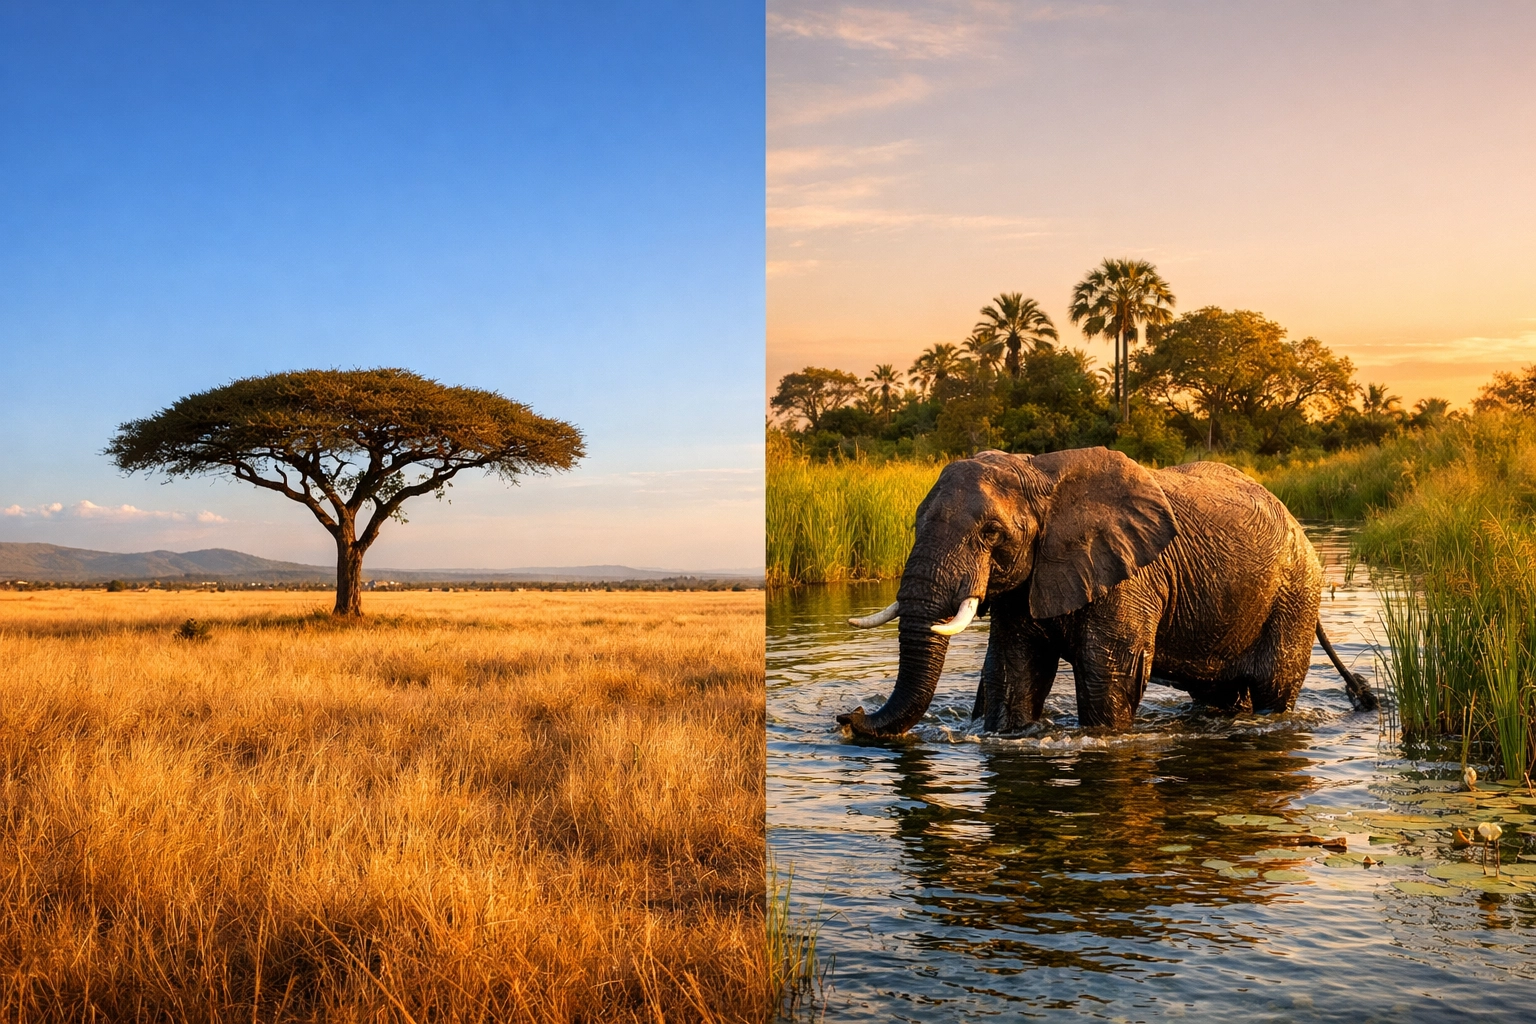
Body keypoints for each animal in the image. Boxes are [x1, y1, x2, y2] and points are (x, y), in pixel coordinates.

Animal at [837, 447, 1375, 738]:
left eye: (991, 533)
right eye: (913, 522)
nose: (850, 714)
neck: (1040, 473)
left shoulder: (1133, 577)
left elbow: (1108, 672)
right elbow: (1014, 669)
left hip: (1294, 596)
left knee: (1273, 689)